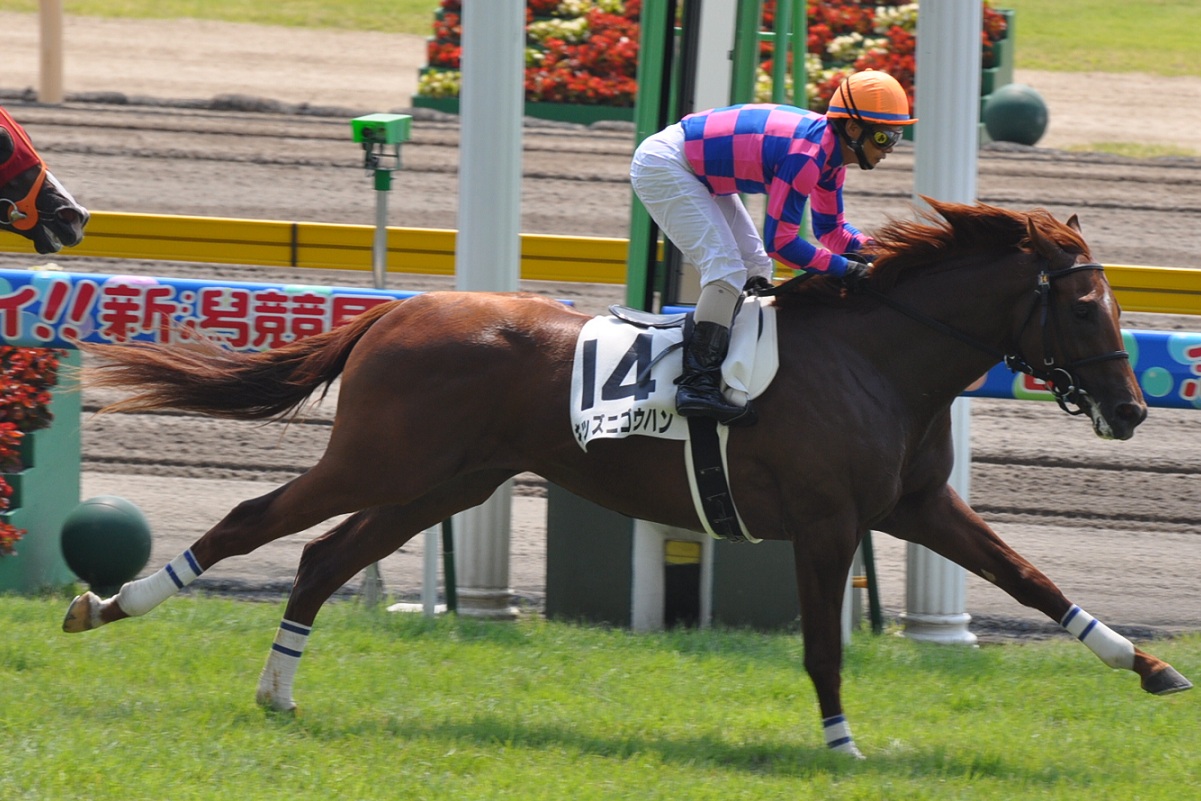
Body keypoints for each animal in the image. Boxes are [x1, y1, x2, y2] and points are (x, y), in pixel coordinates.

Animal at [61, 198, 1192, 758]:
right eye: (1084, 308)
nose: (1131, 409)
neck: (878, 357)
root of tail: (398, 310)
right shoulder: (828, 522)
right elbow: (823, 646)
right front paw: (840, 745)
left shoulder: (914, 506)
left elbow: (1033, 581)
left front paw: (1150, 667)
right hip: (380, 457)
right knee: (256, 518)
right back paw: (106, 606)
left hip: (447, 481)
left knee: (323, 557)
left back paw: (277, 691)